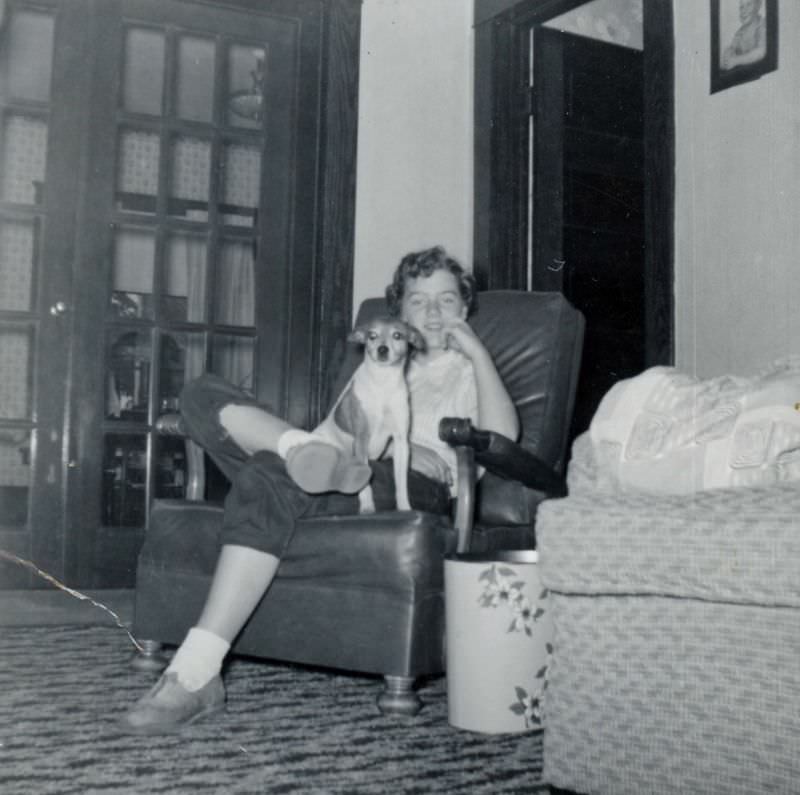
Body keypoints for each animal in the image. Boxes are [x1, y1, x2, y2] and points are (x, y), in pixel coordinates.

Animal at [312, 318, 424, 516]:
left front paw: (405, 507)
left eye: (397, 335)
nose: (382, 349)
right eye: (372, 336)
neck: (383, 384)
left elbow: (401, 483)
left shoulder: (401, 442)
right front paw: (367, 506)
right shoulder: (361, 439)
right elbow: (364, 481)